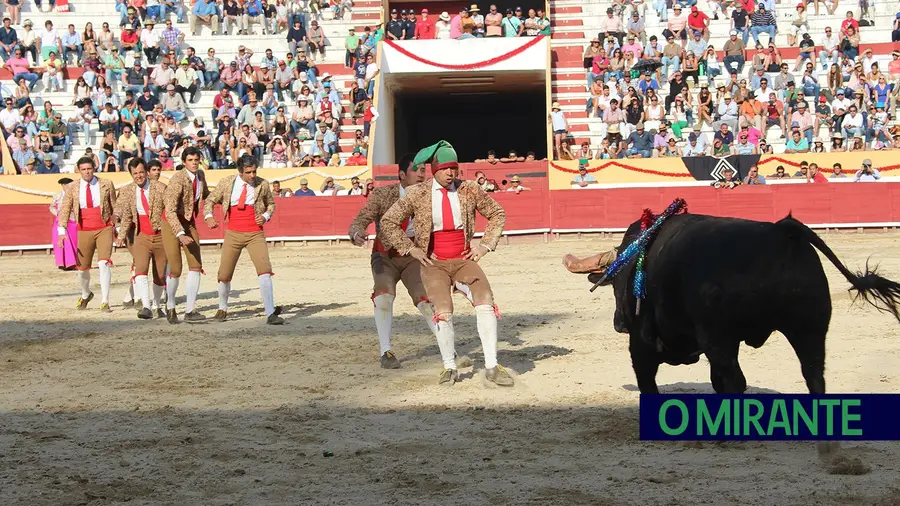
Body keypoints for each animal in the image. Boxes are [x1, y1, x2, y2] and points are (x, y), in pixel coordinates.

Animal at [588, 213, 896, 396]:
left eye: (613, 285)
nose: (618, 323)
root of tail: (781, 231)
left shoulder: (643, 344)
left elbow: (647, 381)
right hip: (810, 327)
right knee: (814, 376)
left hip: (718, 336)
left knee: (738, 381)